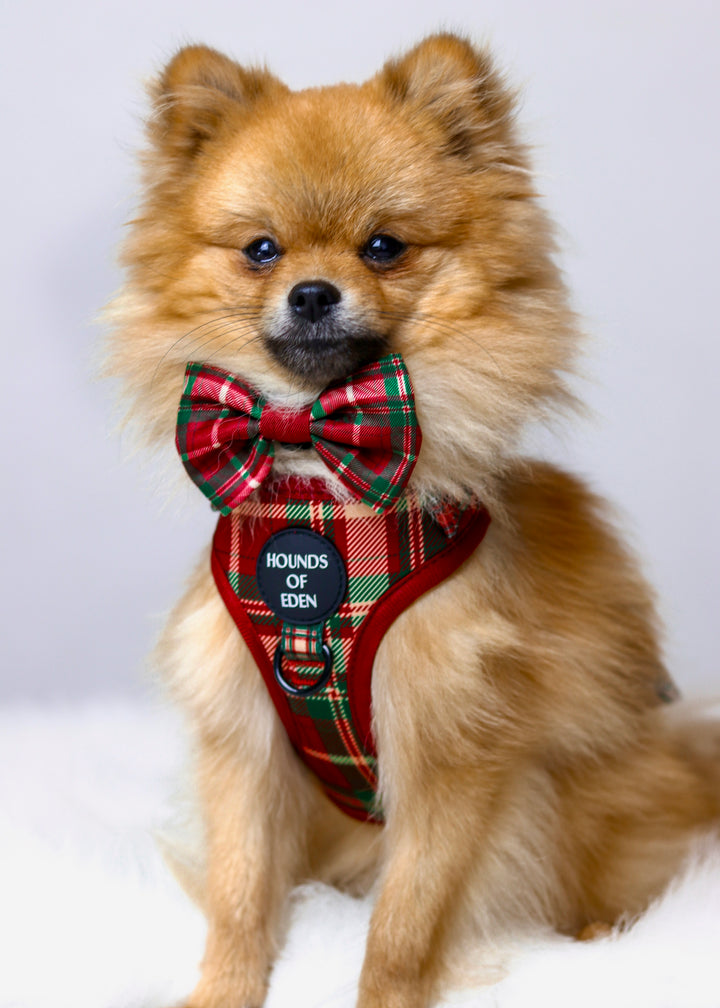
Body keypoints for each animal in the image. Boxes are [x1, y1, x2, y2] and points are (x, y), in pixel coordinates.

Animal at [106, 31, 717, 1008]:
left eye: (384, 247)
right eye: (261, 251)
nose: (313, 292)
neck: (322, 487)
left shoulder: (450, 746)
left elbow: (405, 920)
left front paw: (383, 993)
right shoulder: (243, 738)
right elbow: (240, 892)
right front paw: (223, 991)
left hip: (597, 802)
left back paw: (599, 932)